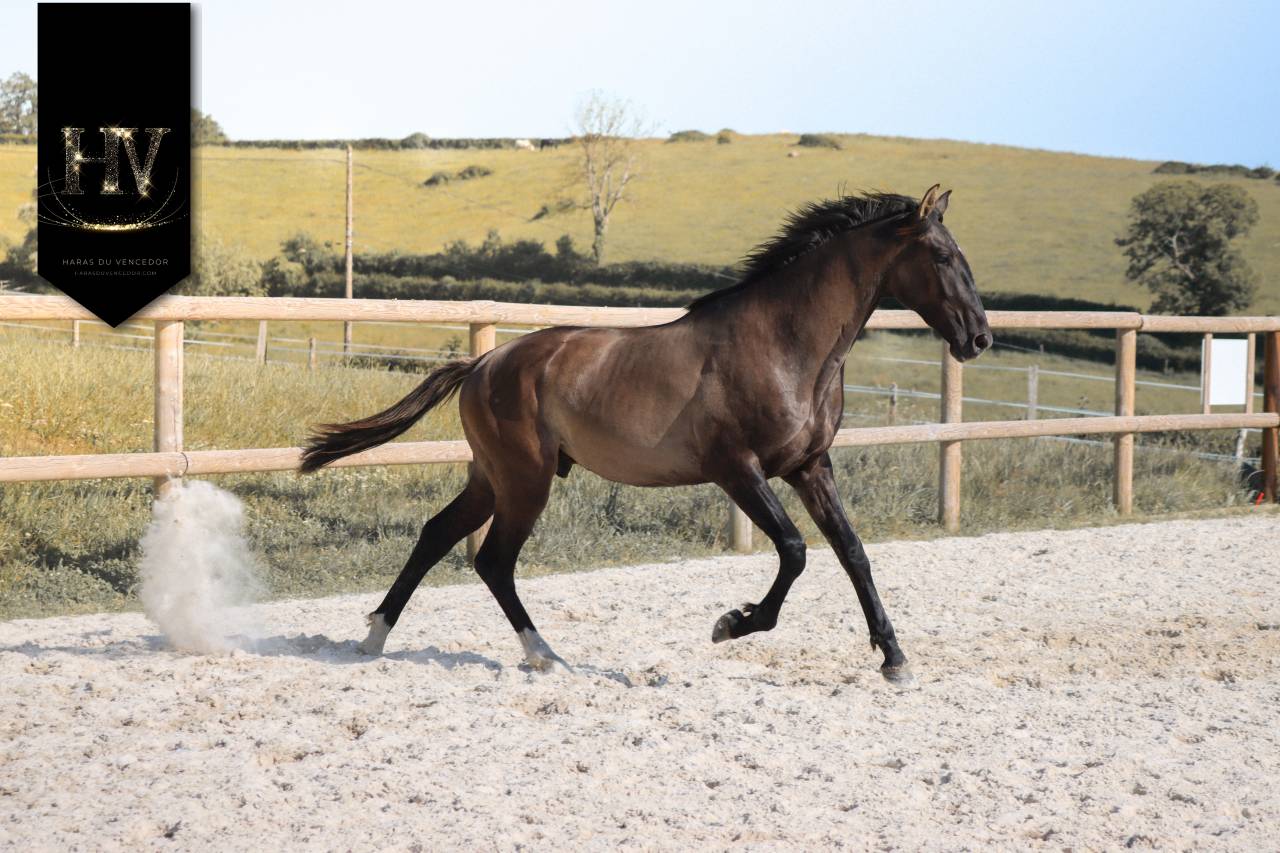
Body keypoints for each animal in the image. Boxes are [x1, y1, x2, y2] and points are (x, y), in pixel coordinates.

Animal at [301, 185, 991, 683]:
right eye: (942, 257)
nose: (979, 338)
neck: (784, 344)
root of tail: (483, 363)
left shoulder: (811, 466)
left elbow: (853, 553)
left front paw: (895, 660)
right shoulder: (738, 469)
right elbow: (795, 551)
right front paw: (732, 623)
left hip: (493, 478)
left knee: (438, 534)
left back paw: (374, 637)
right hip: (525, 480)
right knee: (493, 560)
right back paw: (545, 656)